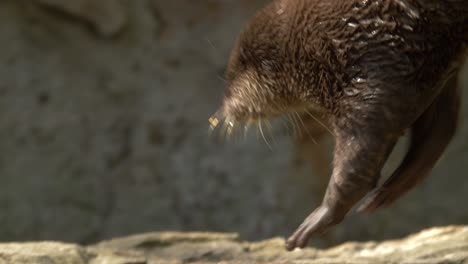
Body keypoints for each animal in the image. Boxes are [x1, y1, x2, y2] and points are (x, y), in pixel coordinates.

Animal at [209, 0, 468, 251]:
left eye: (230, 82)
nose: (221, 111)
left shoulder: (375, 63)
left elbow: (362, 153)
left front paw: (320, 217)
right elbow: (437, 131)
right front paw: (389, 191)